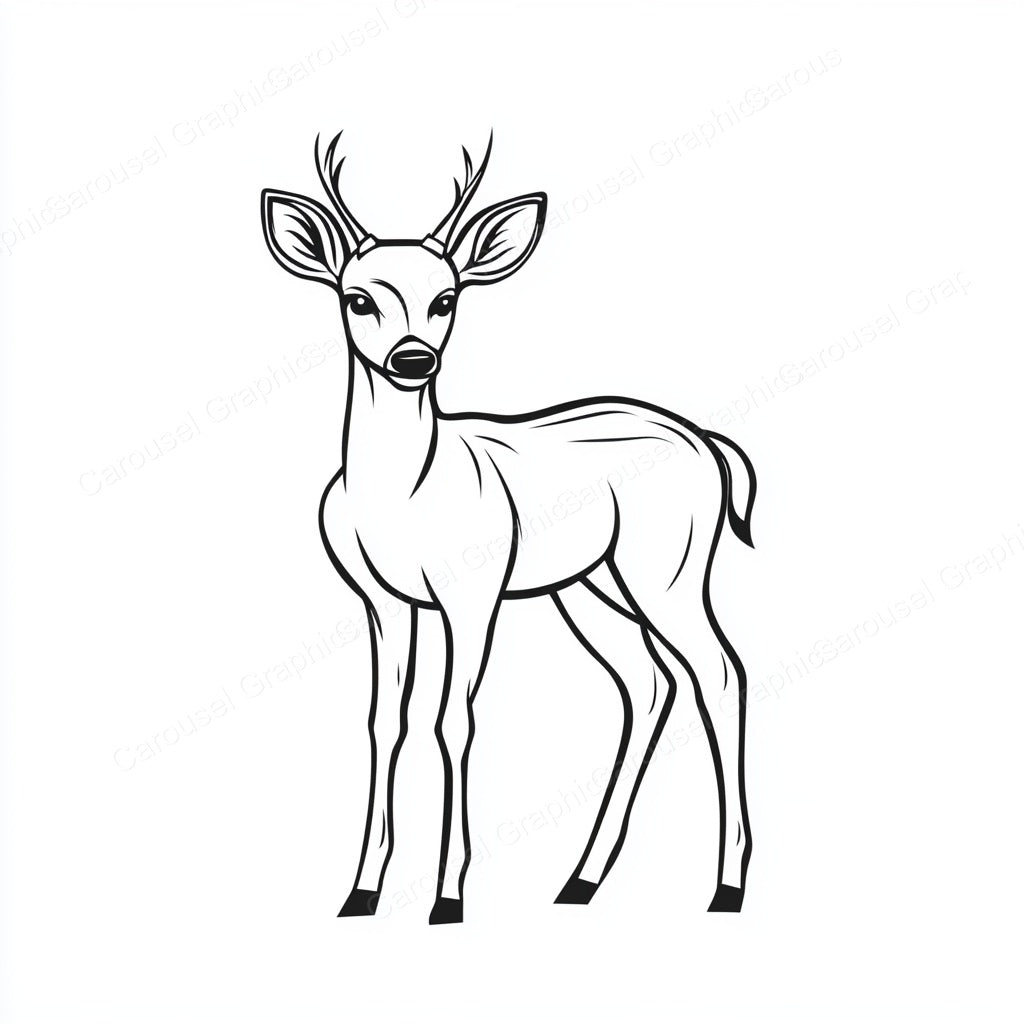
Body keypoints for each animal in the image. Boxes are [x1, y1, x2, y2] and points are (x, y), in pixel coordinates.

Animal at [260, 131, 756, 925]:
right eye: (357, 297)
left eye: (446, 298)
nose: (412, 359)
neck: (404, 494)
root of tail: (708, 443)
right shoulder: (382, 599)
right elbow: (385, 721)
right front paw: (360, 893)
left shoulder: (473, 591)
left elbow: (451, 721)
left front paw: (448, 897)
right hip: (588, 584)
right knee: (648, 682)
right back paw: (579, 881)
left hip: (668, 569)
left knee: (719, 671)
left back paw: (726, 888)